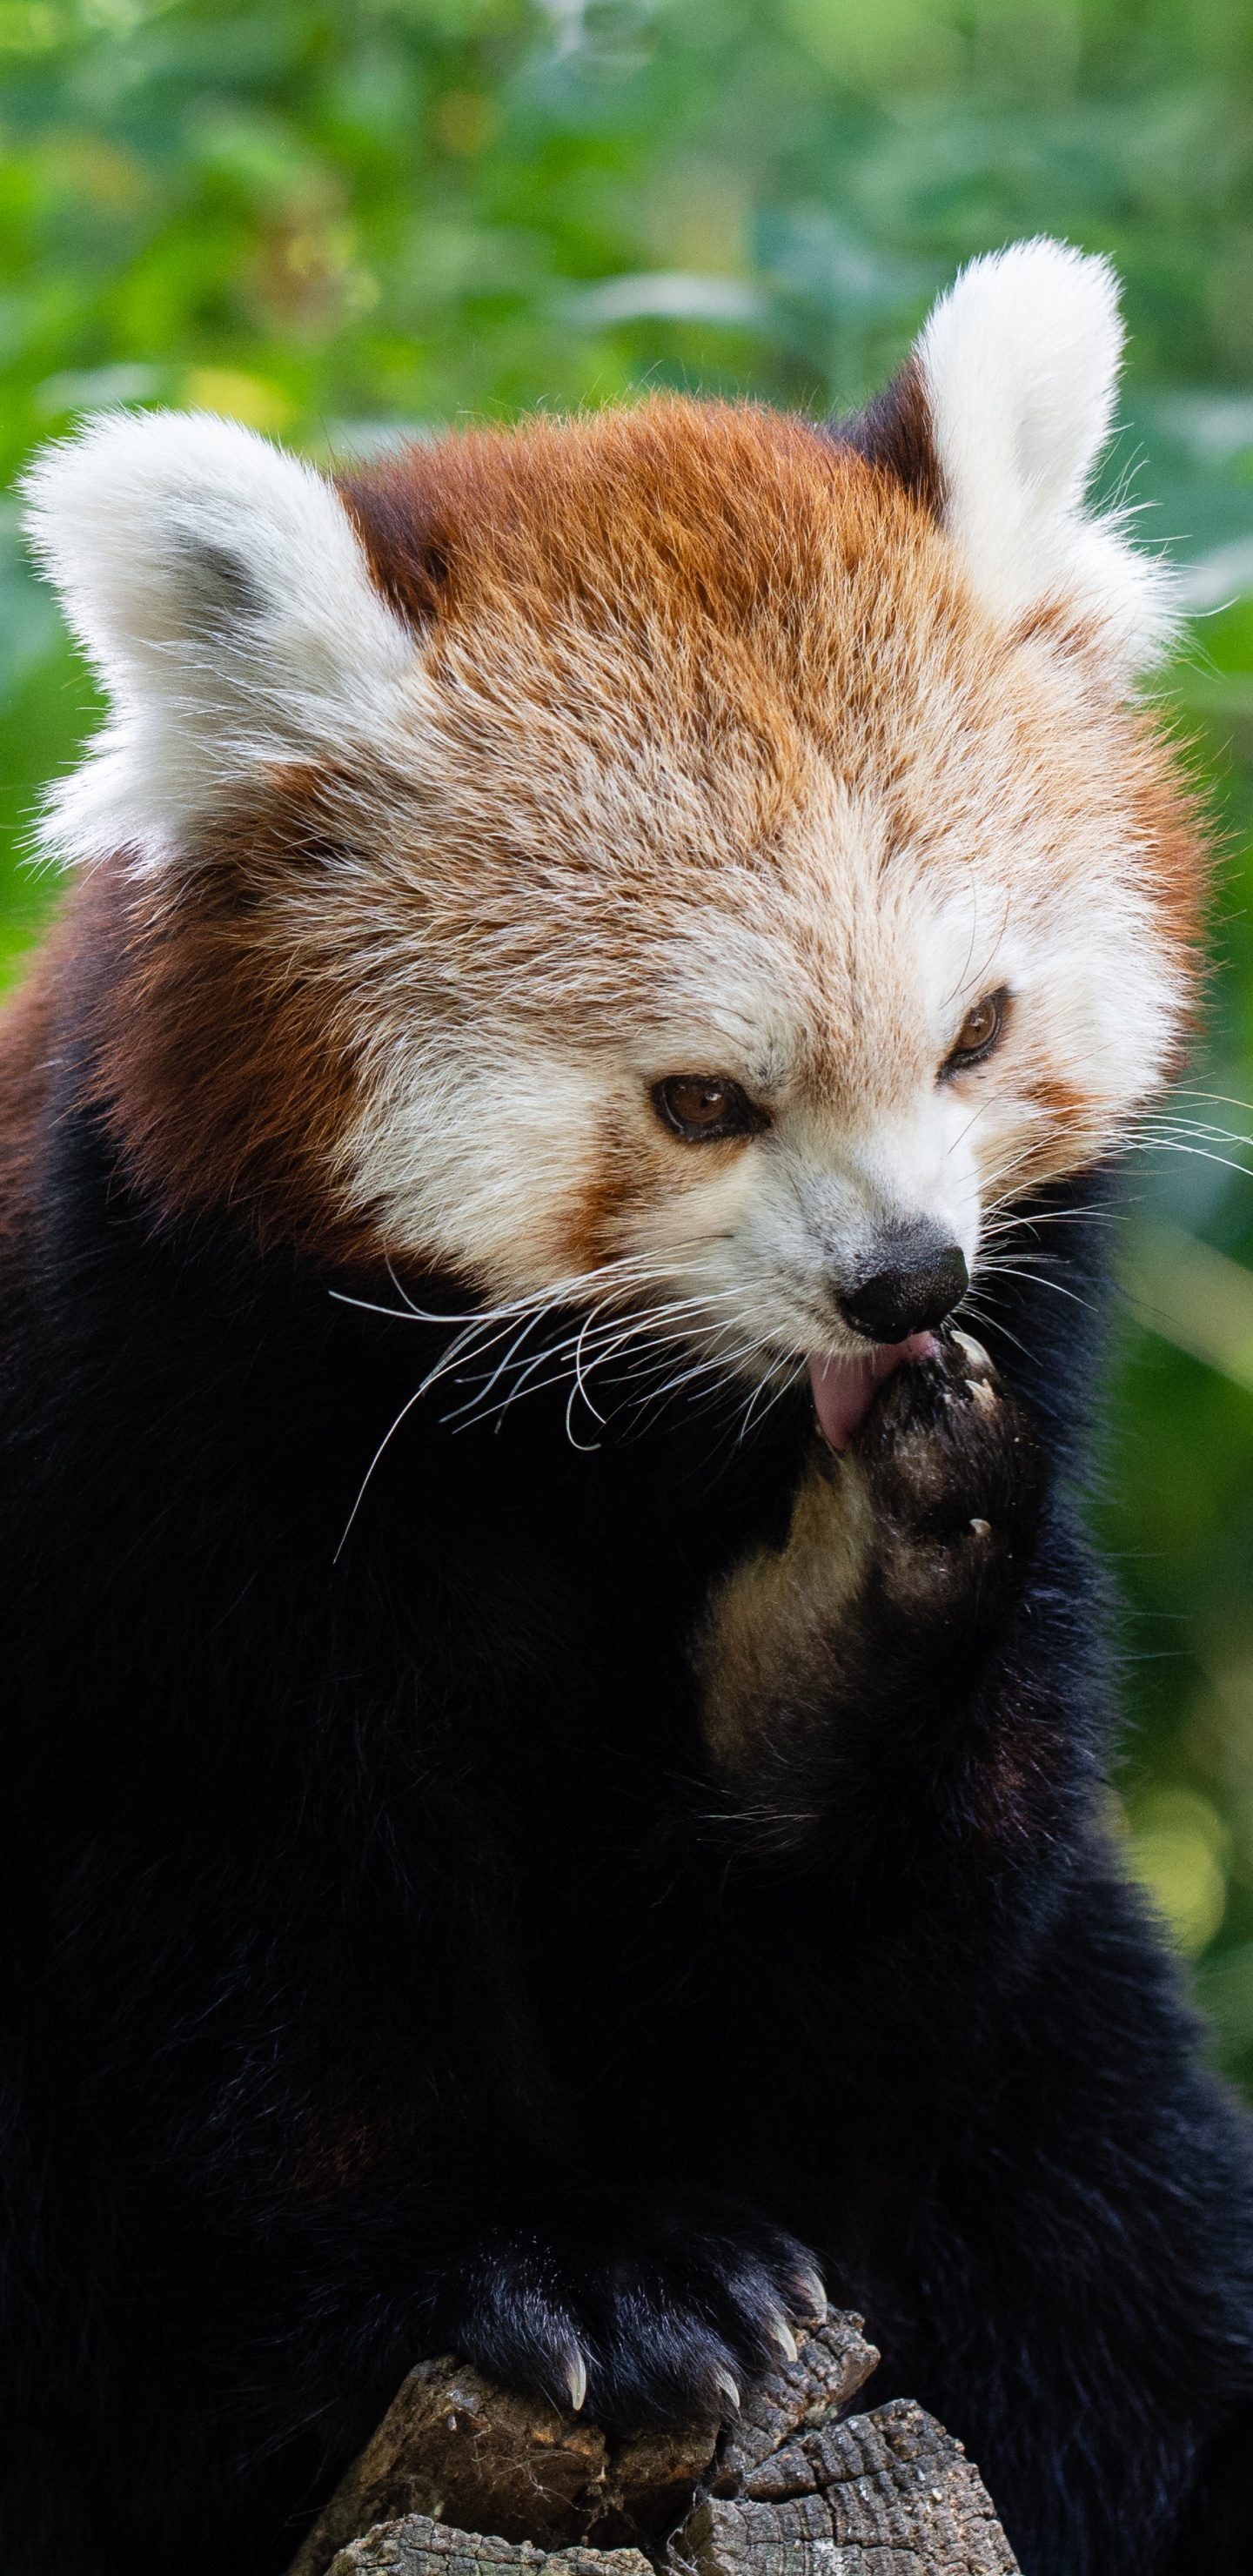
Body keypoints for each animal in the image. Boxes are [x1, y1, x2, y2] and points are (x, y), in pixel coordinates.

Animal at [0, 242, 1248, 2576]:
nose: (903, 1276)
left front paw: (850, 1595)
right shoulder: (144, 1432)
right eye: (699, 1101)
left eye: (972, 1032)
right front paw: (562, 2263)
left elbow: (858, 2003)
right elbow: (244, 1948)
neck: (610, 1449)